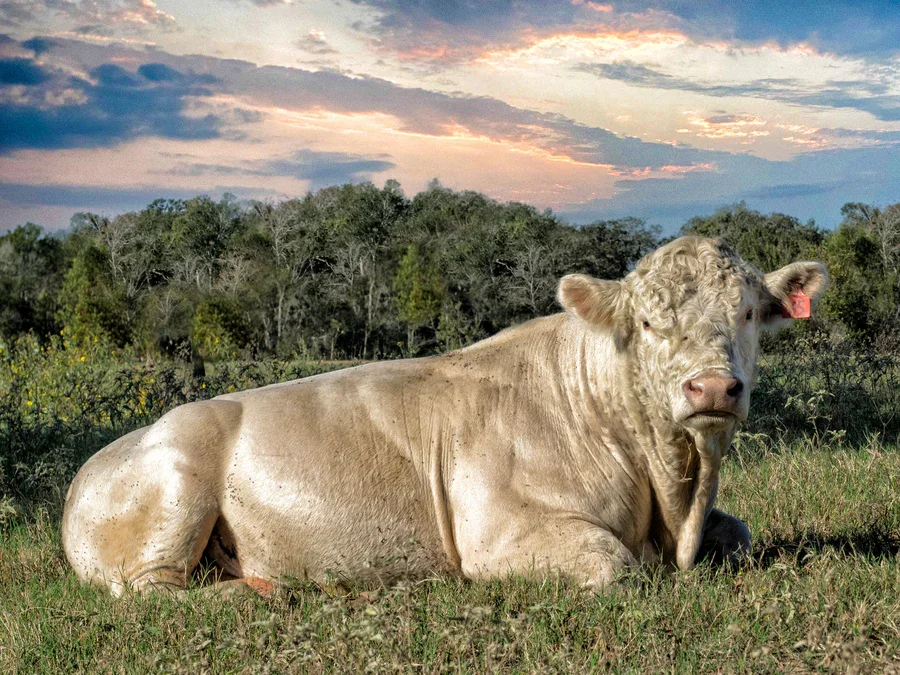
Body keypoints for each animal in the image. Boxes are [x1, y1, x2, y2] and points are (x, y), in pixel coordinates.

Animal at [62, 236, 828, 596]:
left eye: (749, 315)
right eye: (646, 321)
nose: (712, 388)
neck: (670, 495)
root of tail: (92, 466)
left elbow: (742, 533)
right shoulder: (497, 536)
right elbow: (613, 564)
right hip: (175, 489)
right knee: (148, 590)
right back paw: (248, 596)